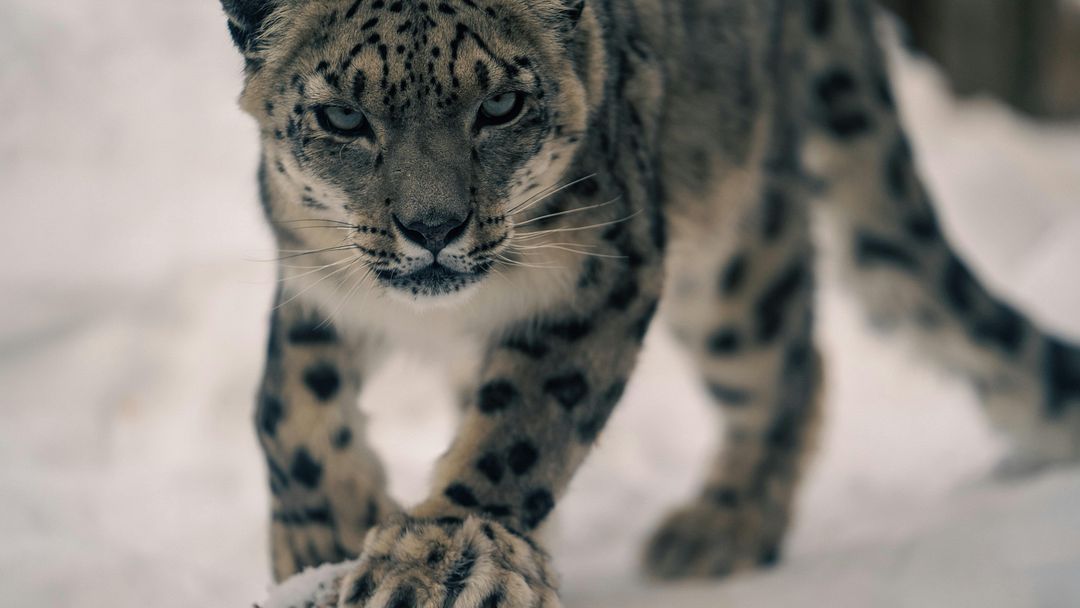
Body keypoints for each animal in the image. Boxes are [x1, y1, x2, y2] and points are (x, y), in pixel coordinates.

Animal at [219, 0, 1080, 604]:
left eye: (500, 106)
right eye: (342, 115)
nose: (433, 227)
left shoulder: (598, 270)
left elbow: (524, 424)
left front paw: (439, 559)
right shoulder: (316, 279)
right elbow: (287, 408)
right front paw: (323, 539)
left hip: (734, 264)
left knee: (793, 362)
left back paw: (723, 524)